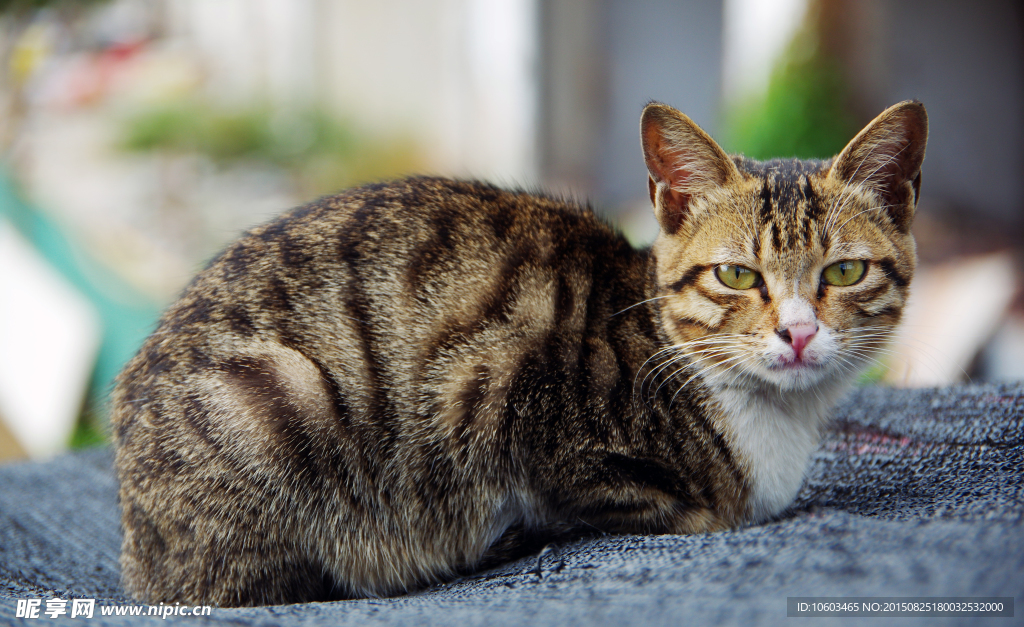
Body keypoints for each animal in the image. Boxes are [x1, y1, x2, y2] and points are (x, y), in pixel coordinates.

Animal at [110, 100, 929, 606]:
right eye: (736, 275)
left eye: (844, 272)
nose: (797, 332)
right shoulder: (505, 395)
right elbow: (682, 512)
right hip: (278, 400)